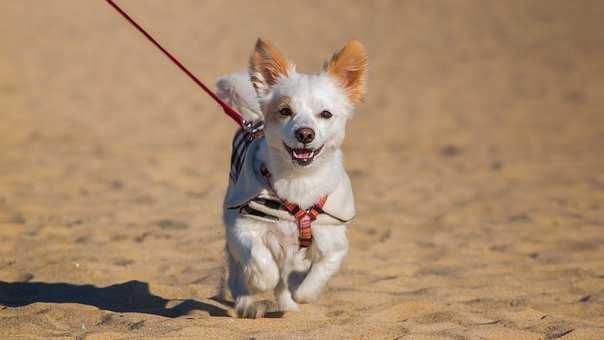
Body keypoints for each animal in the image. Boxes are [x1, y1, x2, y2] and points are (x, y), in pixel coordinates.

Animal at [218, 38, 368, 318]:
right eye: (285, 111)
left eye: (326, 114)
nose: (305, 134)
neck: (298, 181)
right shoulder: (243, 227)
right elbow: (260, 261)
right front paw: (260, 279)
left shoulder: (335, 242)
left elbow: (315, 277)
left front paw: (301, 290)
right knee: (237, 271)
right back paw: (247, 302)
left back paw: (287, 303)